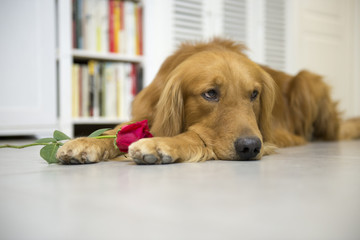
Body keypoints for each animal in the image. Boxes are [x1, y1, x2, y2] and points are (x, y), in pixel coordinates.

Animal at [57, 38, 360, 164]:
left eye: (254, 95)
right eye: (210, 93)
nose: (250, 147)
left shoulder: (267, 137)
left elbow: (195, 135)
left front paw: (161, 144)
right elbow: (116, 131)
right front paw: (82, 143)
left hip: (309, 81)